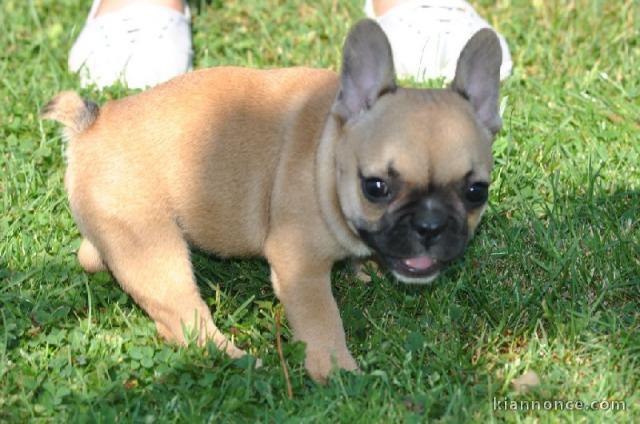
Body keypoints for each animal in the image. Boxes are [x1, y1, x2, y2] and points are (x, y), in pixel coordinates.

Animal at [46, 19, 504, 380]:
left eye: (476, 191)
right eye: (375, 187)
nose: (430, 225)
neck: (326, 150)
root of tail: (89, 126)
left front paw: (365, 268)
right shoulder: (299, 266)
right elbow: (322, 319)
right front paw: (338, 373)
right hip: (153, 250)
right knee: (183, 320)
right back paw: (237, 360)